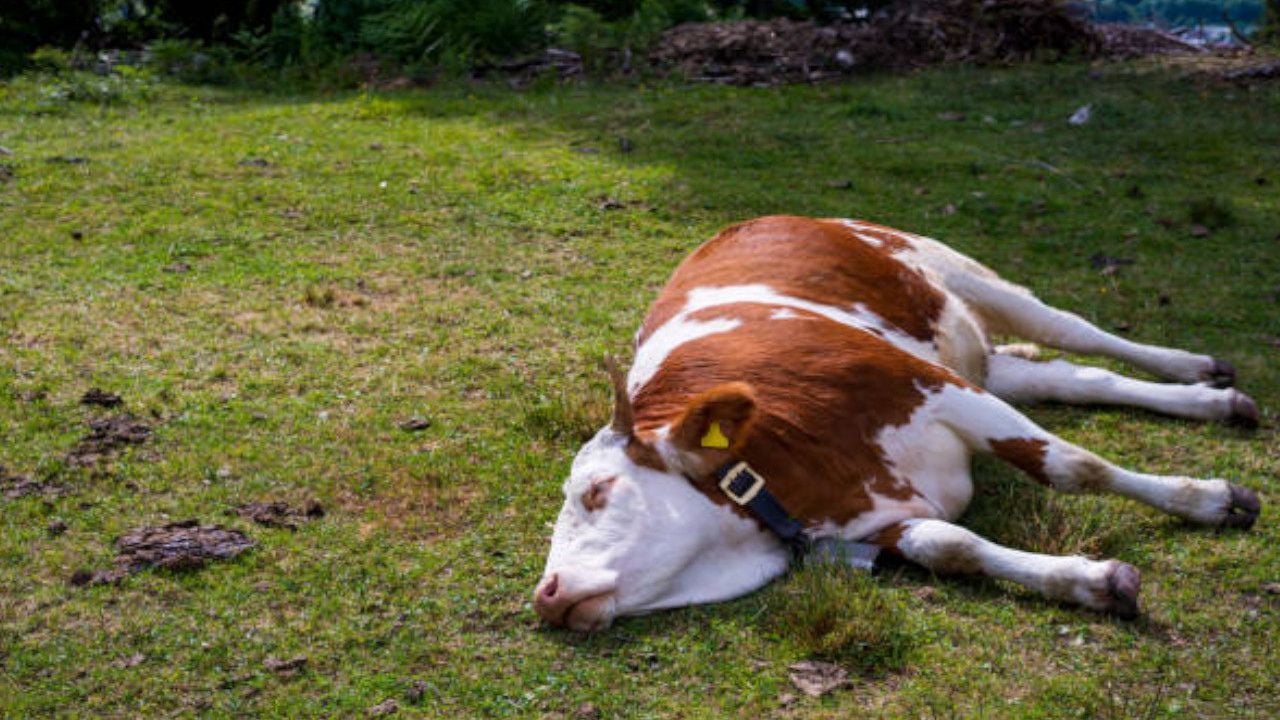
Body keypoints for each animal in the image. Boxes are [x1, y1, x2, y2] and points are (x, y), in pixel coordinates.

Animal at [533, 216, 1261, 632]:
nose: (546, 594)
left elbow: (1073, 466)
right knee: (1076, 377)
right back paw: (1211, 400)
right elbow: (951, 546)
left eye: (597, 492)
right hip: (986, 360)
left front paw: (1210, 501)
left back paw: (1199, 368)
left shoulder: (937, 387)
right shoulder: (877, 521)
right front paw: (1089, 583)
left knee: (1081, 333)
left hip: (963, 274)